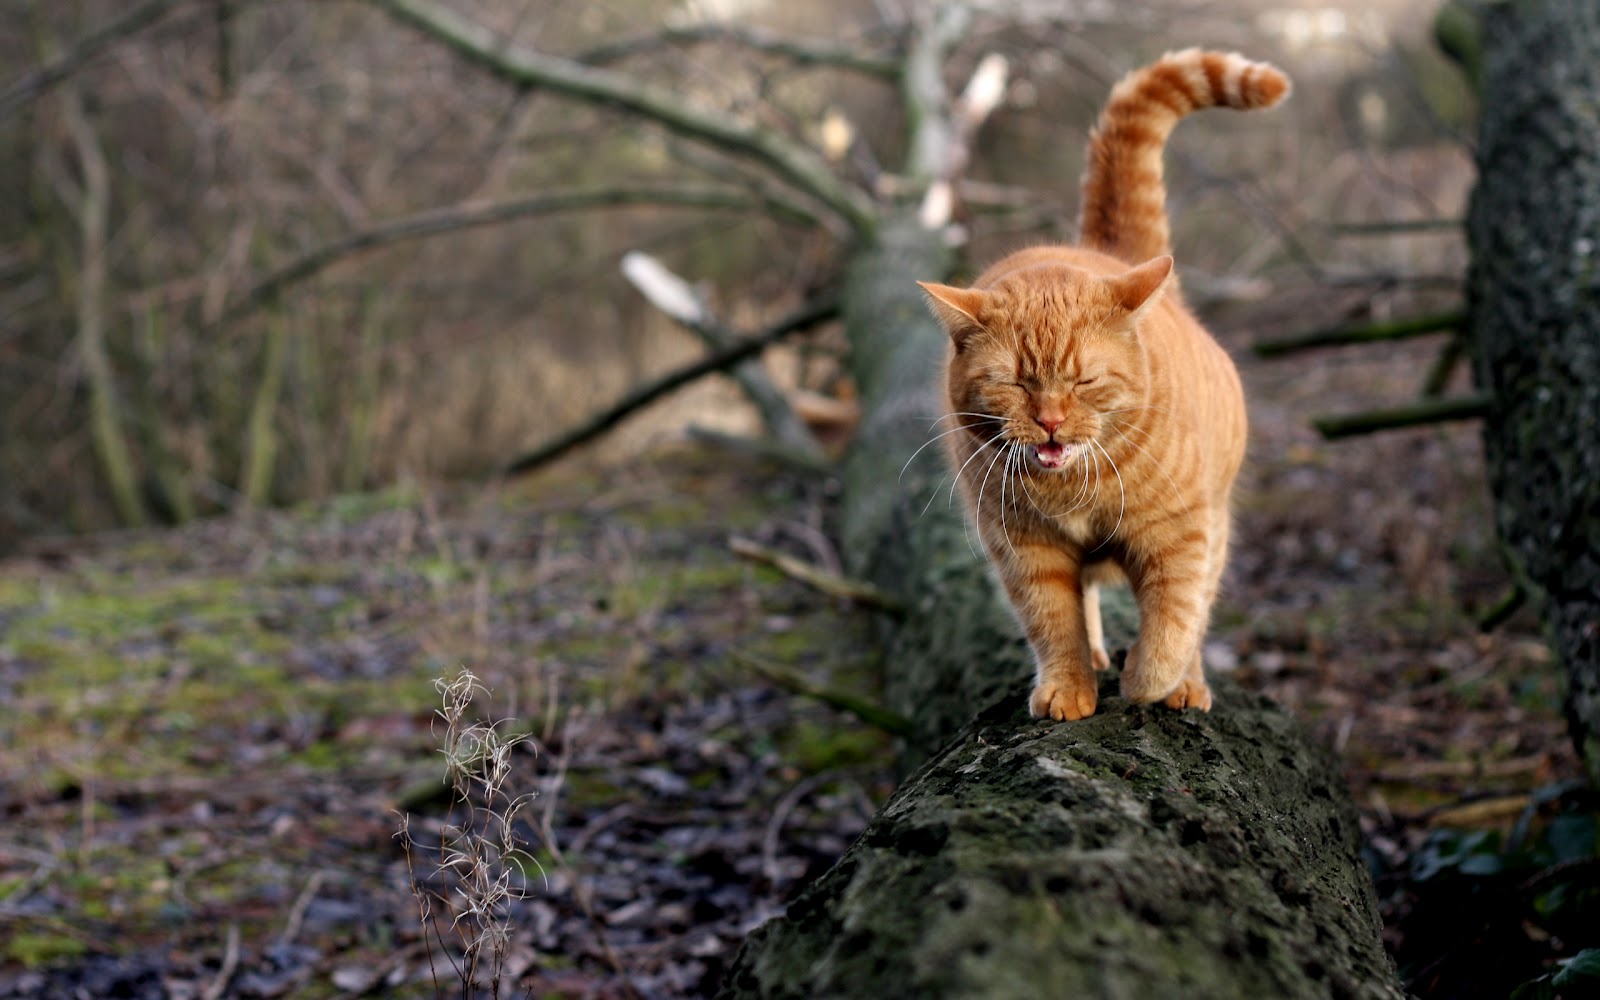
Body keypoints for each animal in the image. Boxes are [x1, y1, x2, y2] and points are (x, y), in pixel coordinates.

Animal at [915, 50, 1286, 716]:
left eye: (1084, 380)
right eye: (1015, 383)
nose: (1050, 421)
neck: (1074, 492)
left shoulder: (1179, 536)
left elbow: (1172, 623)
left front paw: (1150, 681)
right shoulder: (1025, 551)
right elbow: (1053, 622)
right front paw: (1068, 687)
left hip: (1216, 524)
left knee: (1198, 610)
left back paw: (1187, 682)